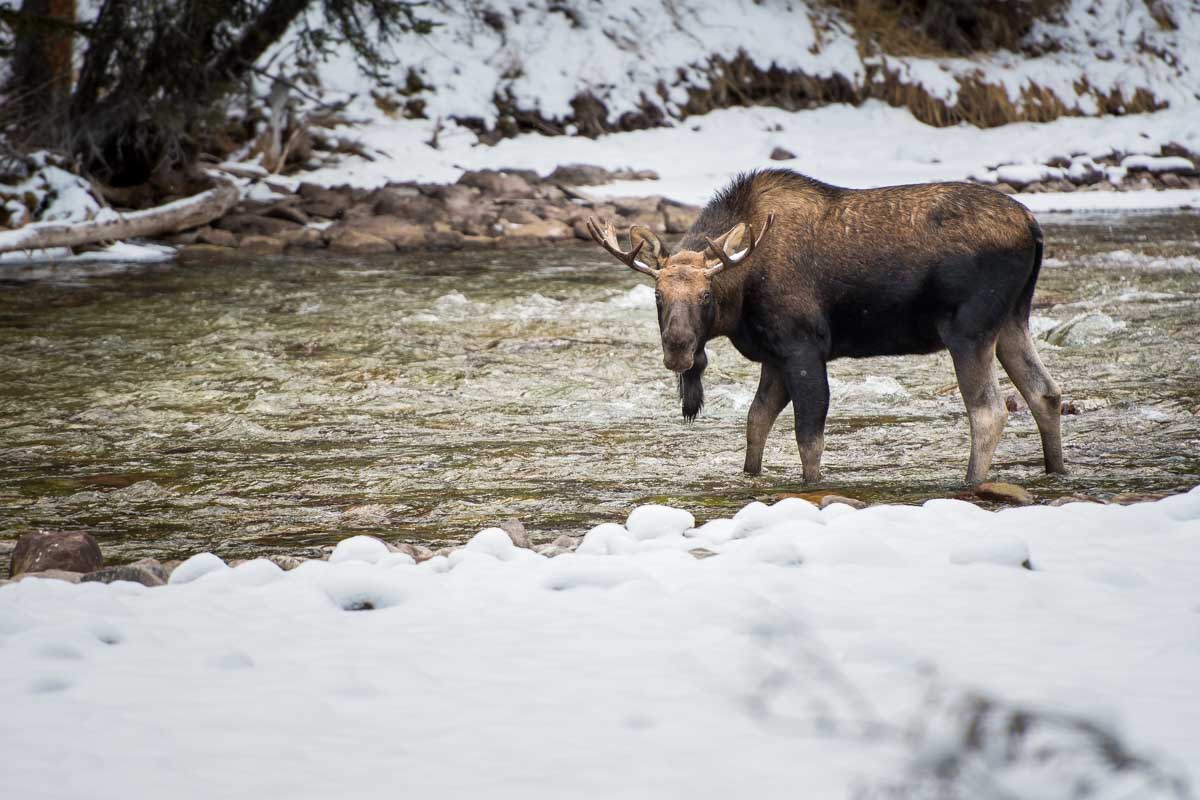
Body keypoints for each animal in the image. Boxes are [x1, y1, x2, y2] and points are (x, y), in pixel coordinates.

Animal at [586, 168, 1065, 485]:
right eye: (657, 295)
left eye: (706, 296)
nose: (678, 350)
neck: (741, 293)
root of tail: (1034, 226)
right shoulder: (773, 357)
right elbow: (756, 423)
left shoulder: (803, 345)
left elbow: (808, 437)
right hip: (1012, 320)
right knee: (1045, 393)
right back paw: (1055, 469)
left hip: (969, 329)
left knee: (988, 410)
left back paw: (970, 482)